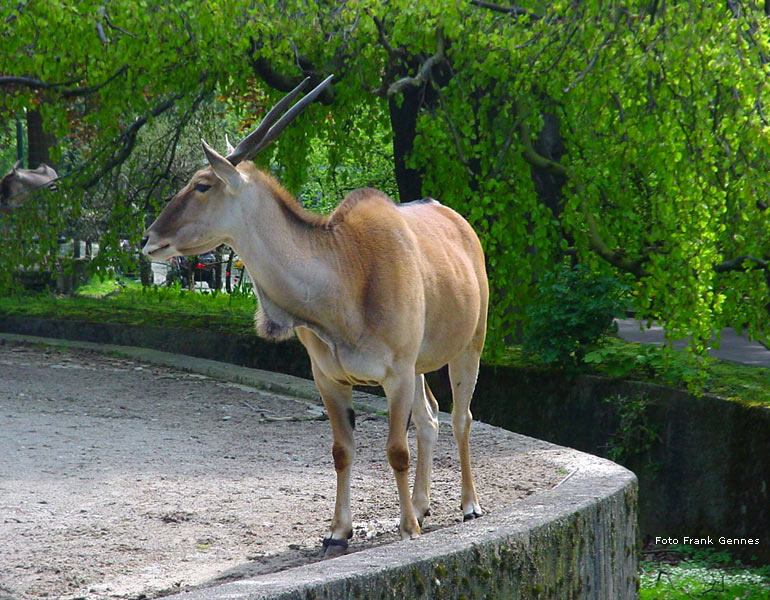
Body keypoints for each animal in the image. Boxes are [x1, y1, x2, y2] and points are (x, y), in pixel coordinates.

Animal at [140, 75, 486, 552]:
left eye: (203, 185)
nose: (148, 238)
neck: (346, 272)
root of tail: (461, 226)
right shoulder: (329, 379)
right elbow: (342, 452)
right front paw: (339, 531)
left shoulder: (395, 374)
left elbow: (396, 450)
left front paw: (407, 530)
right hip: (419, 368)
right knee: (431, 419)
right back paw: (420, 505)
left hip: (468, 348)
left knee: (460, 418)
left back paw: (468, 505)